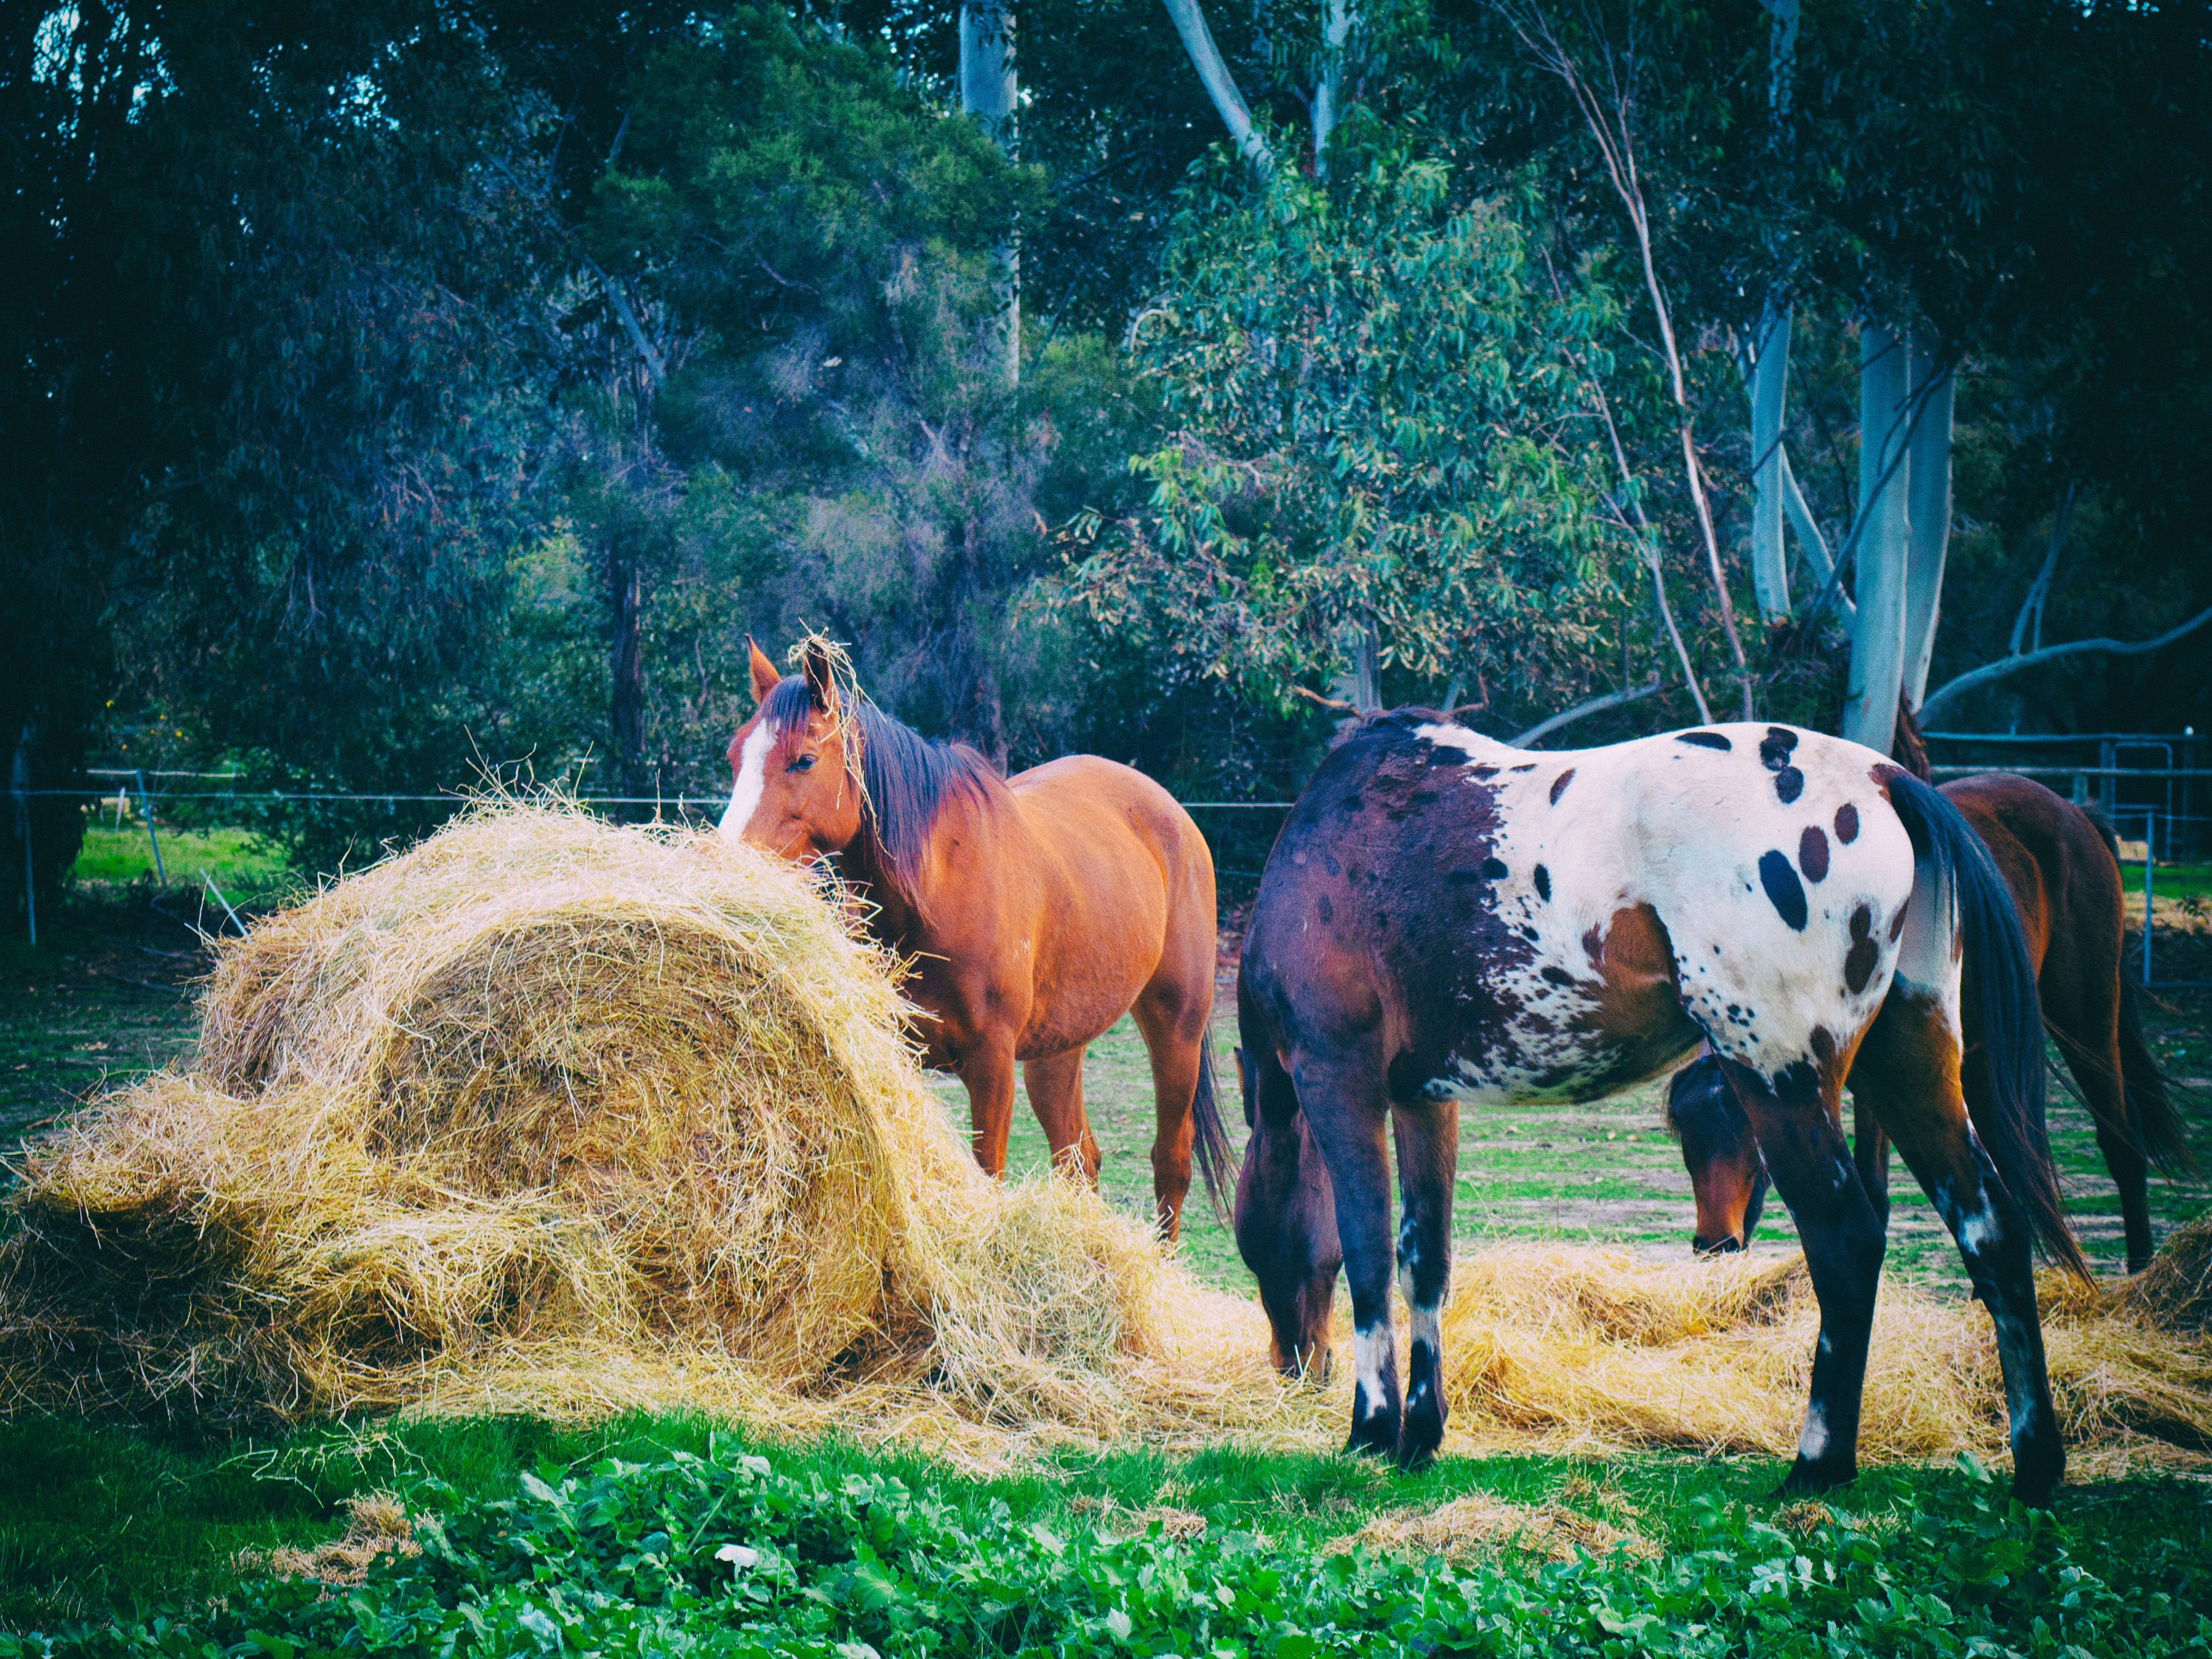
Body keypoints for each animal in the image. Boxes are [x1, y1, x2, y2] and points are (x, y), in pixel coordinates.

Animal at [726, 641, 1248, 1239]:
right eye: (734, 758)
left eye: (804, 760)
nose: (726, 855)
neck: (938, 887)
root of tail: (1173, 813)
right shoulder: (903, 1056)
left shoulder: (991, 1064)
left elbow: (987, 1179)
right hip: (1058, 1051)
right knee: (1079, 1159)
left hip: (1176, 1029)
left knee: (1171, 1163)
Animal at [1248, 717, 2088, 1504]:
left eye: (1260, 1246)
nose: (1294, 1363)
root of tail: (1883, 779)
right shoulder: (1425, 1100)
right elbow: (1425, 1257)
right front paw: (1420, 1433)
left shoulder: (1339, 1078)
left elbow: (1364, 1251)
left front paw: (1370, 1431)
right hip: (1911, 1069)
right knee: (1992, 1231)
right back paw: (2035, 1463)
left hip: (1780, 1080)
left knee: (1847, 1241)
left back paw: (1817, 1465)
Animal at [1663, 779, 2185, 1274]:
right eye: (1686, 1137)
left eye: (1746, 1136)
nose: (1714, 1245)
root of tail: (2076, 813)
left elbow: (1872, 1190)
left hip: (2086, 1018)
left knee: (2122, 1141)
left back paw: (2140, 1271)